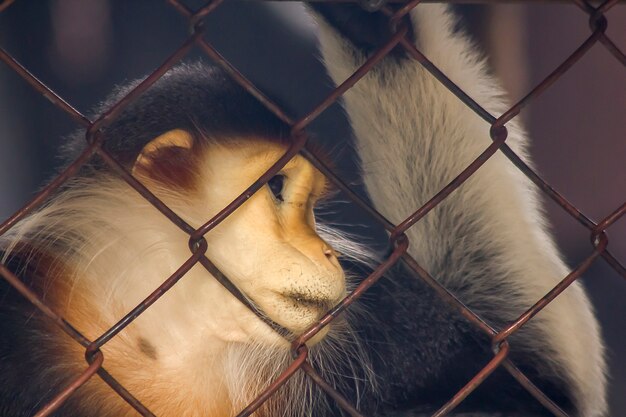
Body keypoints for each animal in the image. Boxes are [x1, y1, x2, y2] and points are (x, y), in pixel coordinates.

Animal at [0, 2, 604, 416]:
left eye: (313, 206)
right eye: (275, 188)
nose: (326, 253)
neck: (167, 341)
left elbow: (547, 375)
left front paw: (374, 25)